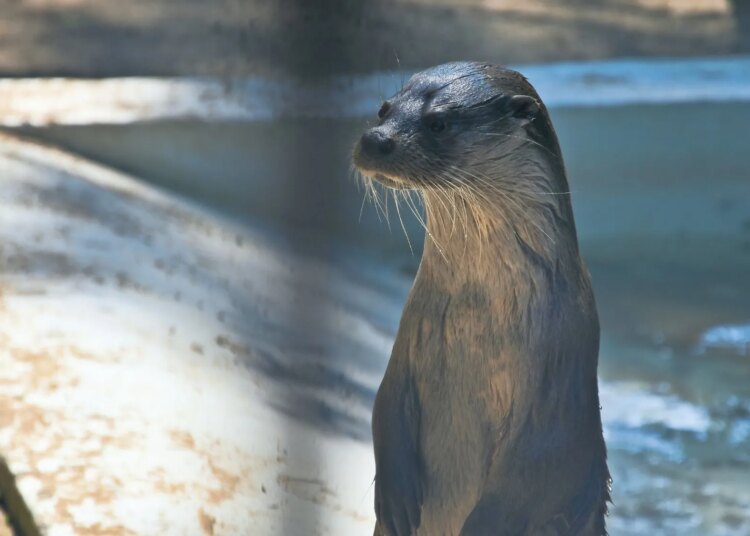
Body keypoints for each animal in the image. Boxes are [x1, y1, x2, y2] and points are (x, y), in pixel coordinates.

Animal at [352, 62, 610, 536]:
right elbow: (384, 409)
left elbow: (530, 478)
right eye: (383, 109)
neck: (479, 318)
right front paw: (396, 499)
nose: (376, 139)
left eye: (439, 123)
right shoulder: (404, 352)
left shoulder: (553, 397)